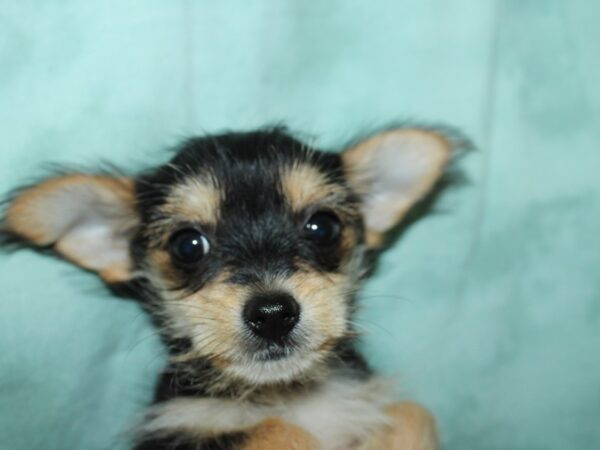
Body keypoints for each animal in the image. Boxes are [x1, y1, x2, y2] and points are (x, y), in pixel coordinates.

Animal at [2, 126, 458, 450]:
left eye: (323, 227)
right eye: (187, 245)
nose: (272, 314)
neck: (285, 396)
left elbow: (412, 412)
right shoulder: (180, 431)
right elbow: (279, 431)